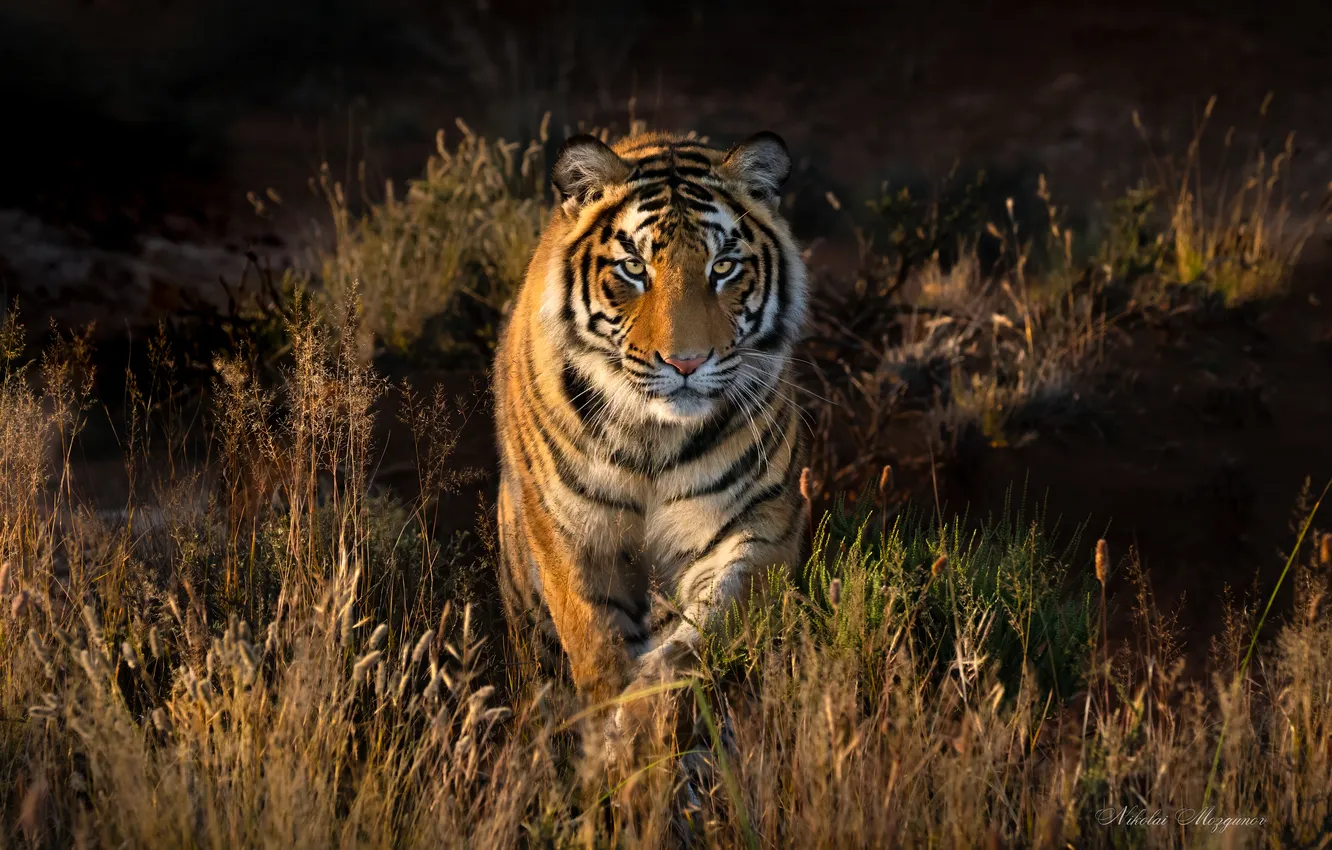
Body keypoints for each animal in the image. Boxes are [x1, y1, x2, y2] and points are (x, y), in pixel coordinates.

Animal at [493, 129, 809, 761]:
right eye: (635, 267)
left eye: (723, 266)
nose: (686, 362)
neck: (653, 438)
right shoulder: (571, 535)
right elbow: (596, 645)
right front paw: (614, 746)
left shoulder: (760, 524)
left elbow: (694, 643)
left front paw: (644, 720)